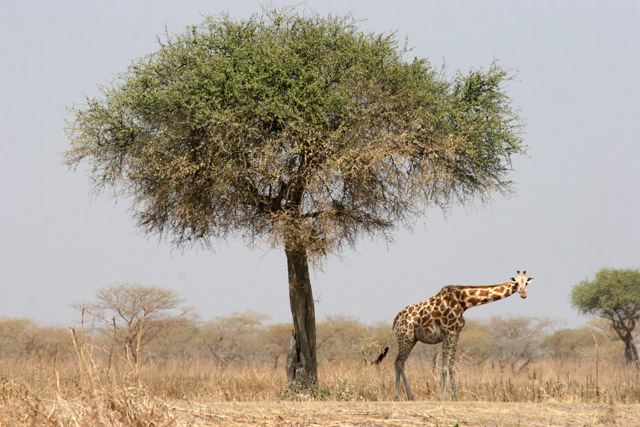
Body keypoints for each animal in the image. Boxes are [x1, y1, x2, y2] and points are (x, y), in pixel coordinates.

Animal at [373, 271, 534, 401]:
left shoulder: (456, 334)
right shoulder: (448, 332)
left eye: (526, 283)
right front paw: (444, 396)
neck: (464, 302)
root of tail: (397, 317)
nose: (523, 294)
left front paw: (455, 396)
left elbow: (452, 366)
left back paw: (409, 396)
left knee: (400, 362)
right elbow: (444, 366)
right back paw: (398, 397)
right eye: (516, 282)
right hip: (405, 337)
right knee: (399, 362)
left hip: (412, 339)